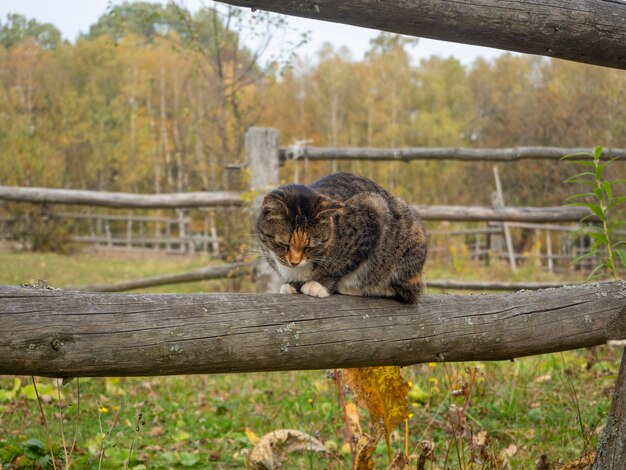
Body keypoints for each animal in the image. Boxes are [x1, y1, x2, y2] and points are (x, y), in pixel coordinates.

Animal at [254, 173, 424, 304]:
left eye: (310, 247)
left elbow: (338, 267)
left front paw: (318, 284)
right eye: (283, 244)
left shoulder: (371, 212)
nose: (294, 262)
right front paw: (291, 284)